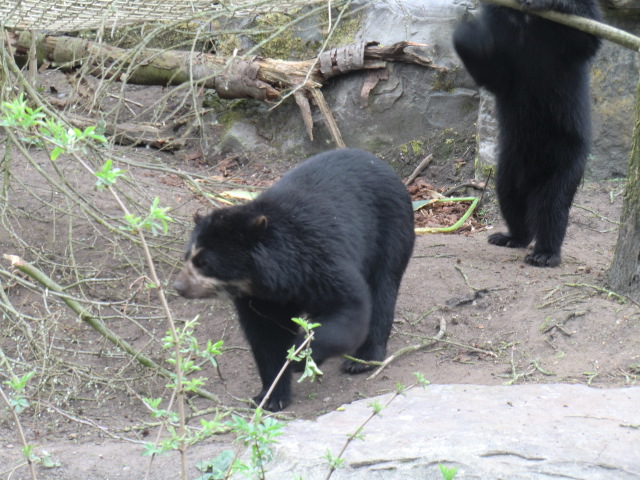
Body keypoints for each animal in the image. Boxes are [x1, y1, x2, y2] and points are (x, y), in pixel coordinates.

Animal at [173, 148, 415, 411]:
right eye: (187, 257)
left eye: (204, 263)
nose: (178, 286)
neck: (273, 277)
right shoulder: (260, 299)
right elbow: (265, 338)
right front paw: (270, 397)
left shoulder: (321, 261)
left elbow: (351, 310)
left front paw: (299, 356)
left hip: (390, 231)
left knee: (383, 289)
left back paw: (363, 359)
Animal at [453, 0, 601, 267]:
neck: (524, 22)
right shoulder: (504, 44)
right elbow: (493, 72)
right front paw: (469, 35)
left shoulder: (562, 49)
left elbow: (587, 33)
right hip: (510, 163)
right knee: (510, 197)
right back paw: (512, 237)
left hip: (564, 158)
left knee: (551, 206)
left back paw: (545, 253)